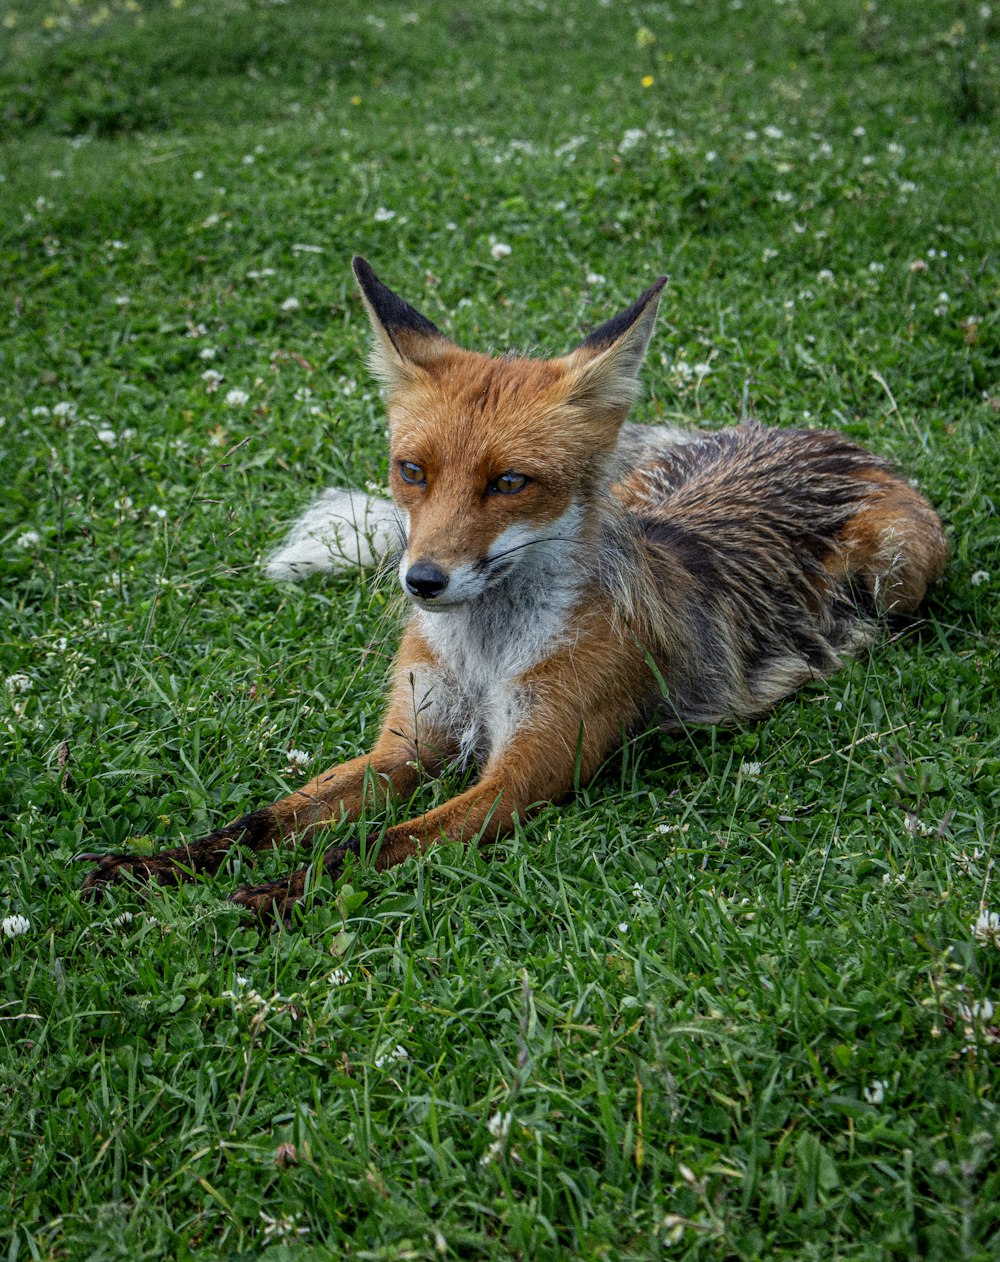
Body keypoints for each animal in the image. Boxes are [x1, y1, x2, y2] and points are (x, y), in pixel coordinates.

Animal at [82, 258, 949, 918]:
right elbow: (263, 819)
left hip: (899, 567)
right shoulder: (407, 746)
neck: (483, 656)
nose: (422, 581)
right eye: (412, 470)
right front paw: (155, 868)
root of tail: (807, 434)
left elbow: (370, 847)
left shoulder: (523, 772)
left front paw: (269, 897)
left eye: (508, 482)